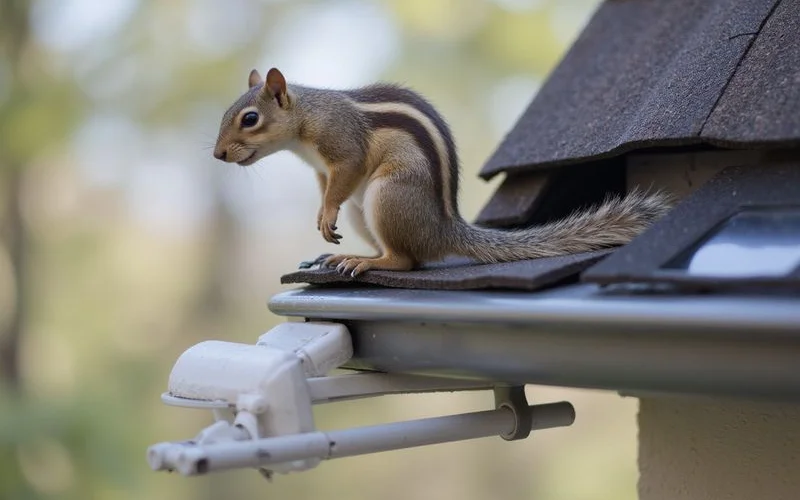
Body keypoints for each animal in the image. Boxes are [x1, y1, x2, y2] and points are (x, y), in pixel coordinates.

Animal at [213, 67, 671, 277]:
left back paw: (367, 261)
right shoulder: (321, 171)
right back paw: (352, 255)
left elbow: (344, 176)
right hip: (365, 213)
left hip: (386, 195)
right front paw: (321, 216)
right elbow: (328, 188)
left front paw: (326, 215)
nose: (218, 154)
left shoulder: (343, 147)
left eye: (250, 119)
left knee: (406, 260)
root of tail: (444, 230)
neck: (306, 120)